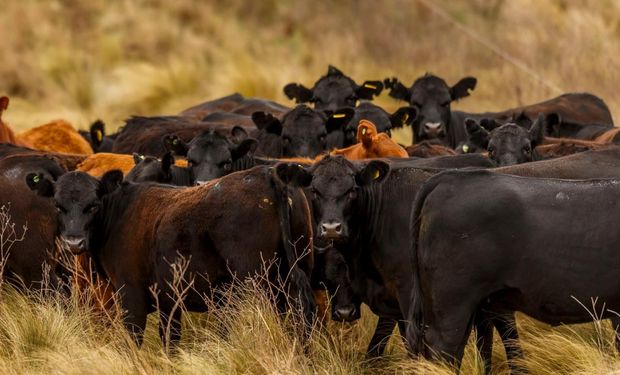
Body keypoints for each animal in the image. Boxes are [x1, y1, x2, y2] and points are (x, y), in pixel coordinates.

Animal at [25, 167, 314, 350]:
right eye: (58, 206)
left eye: (93, 205)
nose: (74, 242)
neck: (119, 213)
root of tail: (267, 174)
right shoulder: (168, 302)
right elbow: (170, 344)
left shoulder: (131, 296)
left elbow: (132, 341)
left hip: (256, 285)